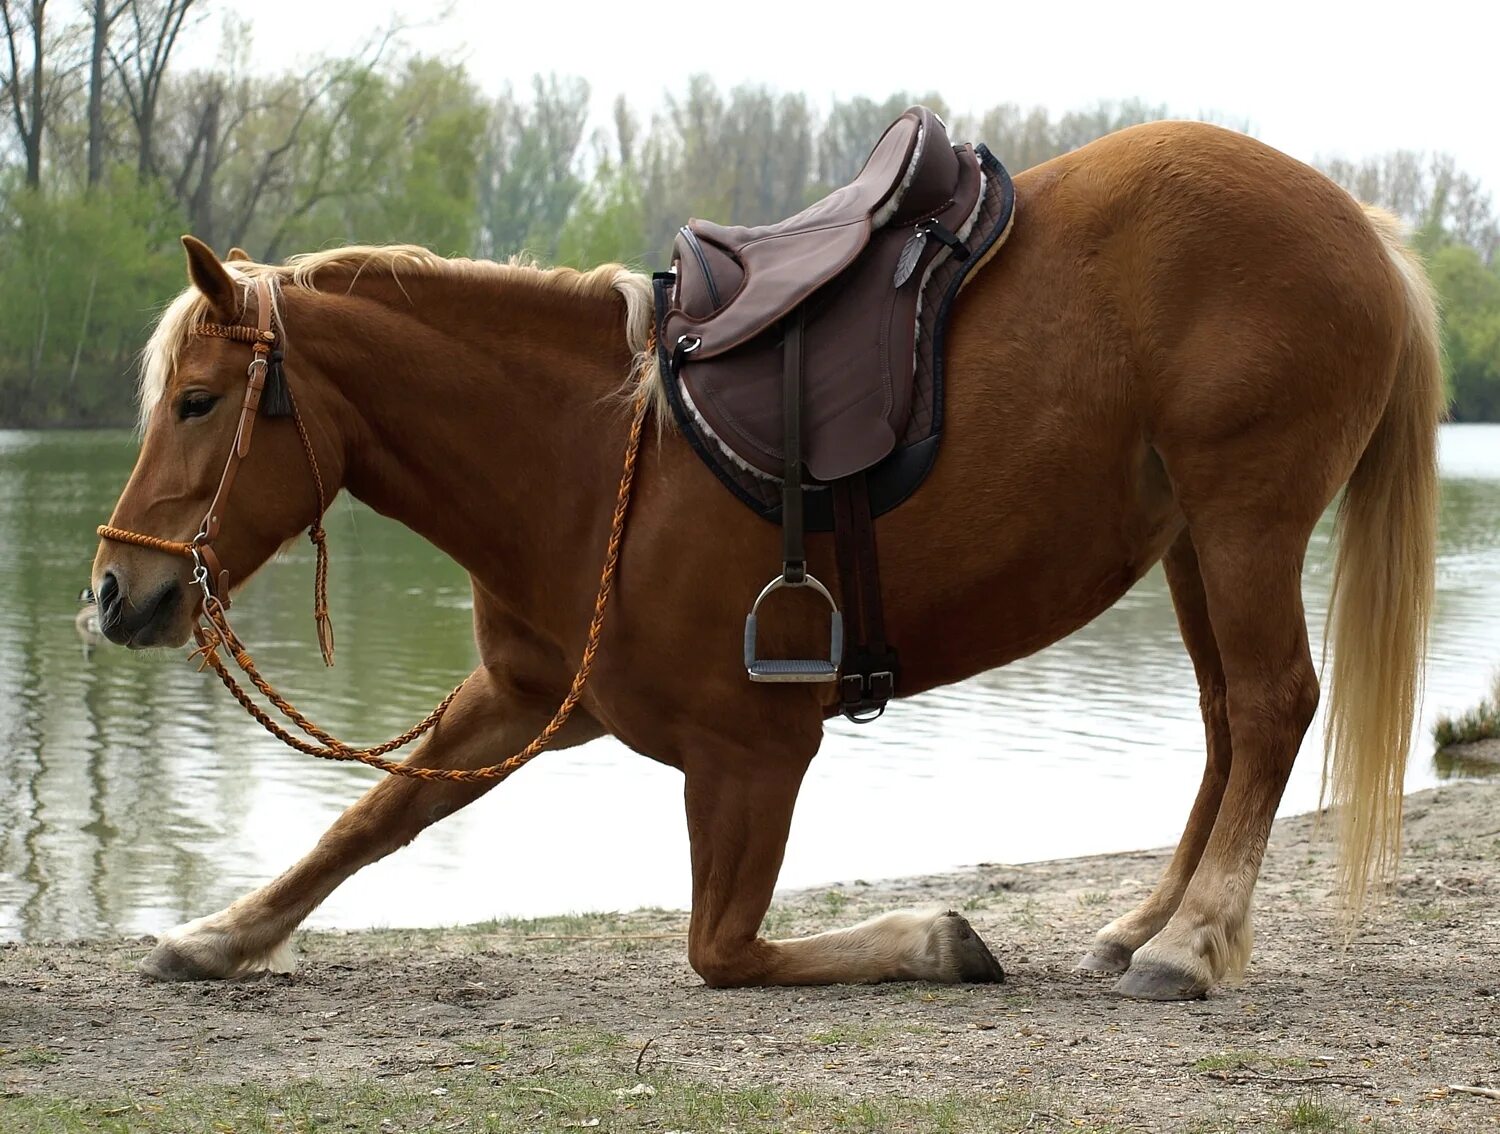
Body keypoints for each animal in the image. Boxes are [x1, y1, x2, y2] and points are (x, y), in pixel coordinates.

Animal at [90, 119, 1440, 996]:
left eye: (199, 402)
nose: (113, 591)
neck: (588, 456)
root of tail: (1362, 225)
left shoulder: (752, 753)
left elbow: (721, 948)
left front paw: (937, 941)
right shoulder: (527, 697)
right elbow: (374, 818)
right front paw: (219, 938)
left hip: (1245, 518)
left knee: (1270, 706)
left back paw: (1188, 943)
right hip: (1194, 545)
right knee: (1224, 726)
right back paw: (1148, 925)